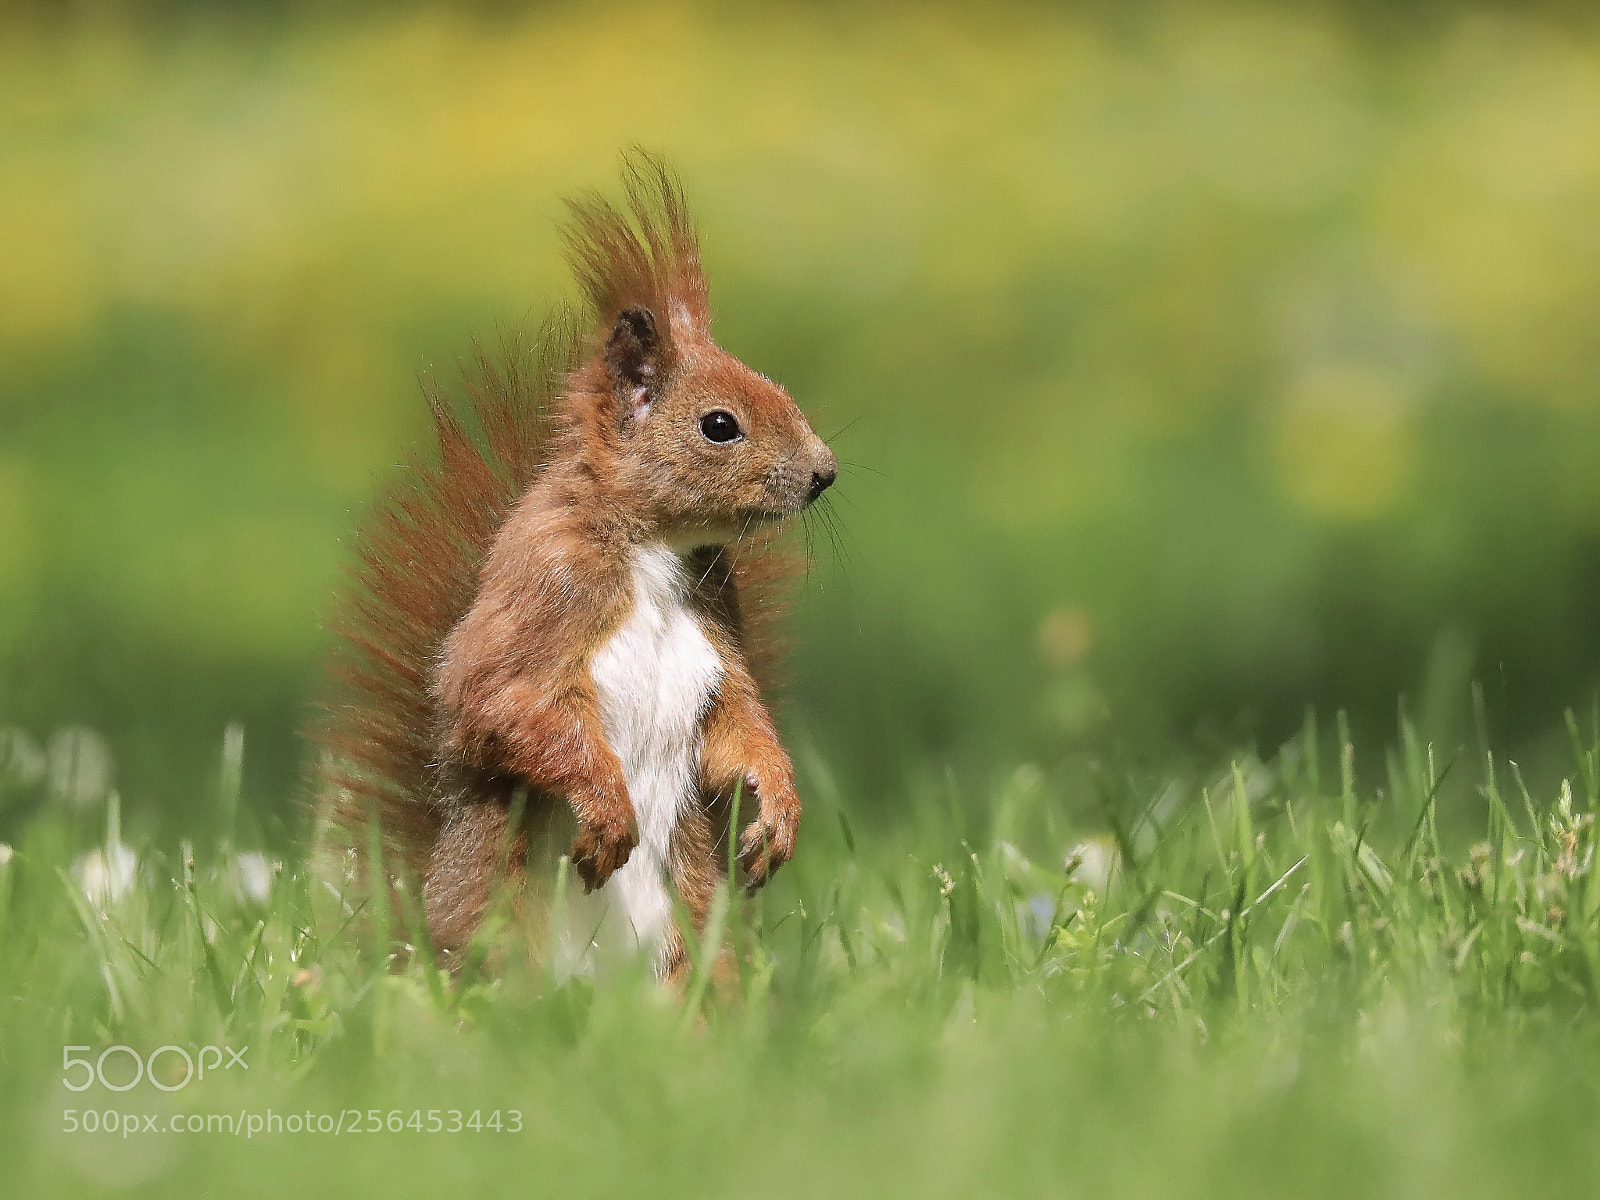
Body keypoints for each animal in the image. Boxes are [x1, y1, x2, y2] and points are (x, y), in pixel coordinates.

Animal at [314, 152, 836, 979]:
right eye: (719, 425)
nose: (825, 473)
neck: (654, 550)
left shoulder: (716, 617)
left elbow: (739, 722)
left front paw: (778, 809)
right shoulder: (549, 584)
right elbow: (500, 700)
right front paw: (607, 811)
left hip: (692, 921)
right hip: (496, 917)